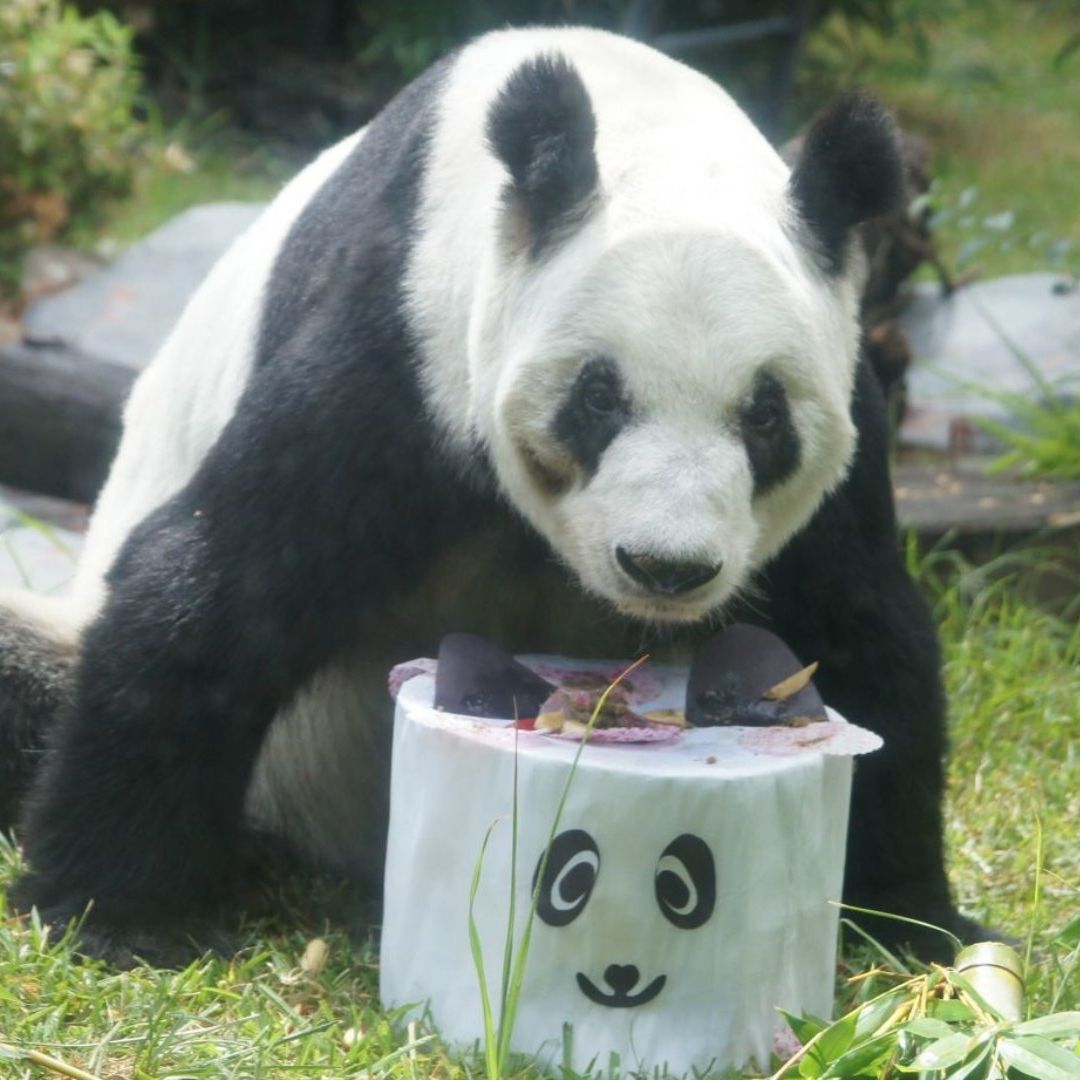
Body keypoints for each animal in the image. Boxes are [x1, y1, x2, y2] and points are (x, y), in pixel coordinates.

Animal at [0, 26, 989, 966]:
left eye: (764, 416)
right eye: (599, 397)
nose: (665, 568)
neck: (643, 126)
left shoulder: (845, 410)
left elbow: (861, 635)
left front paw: (912, 925)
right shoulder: (408, 341)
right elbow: (223, 585)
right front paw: (119, 915)